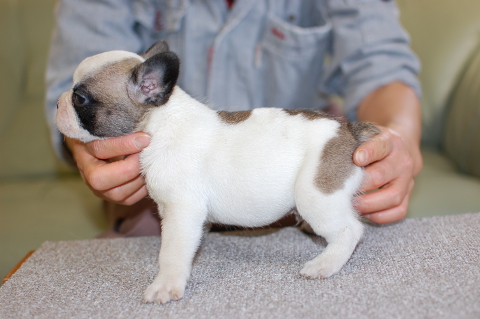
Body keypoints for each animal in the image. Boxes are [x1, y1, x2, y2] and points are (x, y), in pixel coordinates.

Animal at [55, 41, 378, 306]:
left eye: (80, 99)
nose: (58, 103)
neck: (159, 123)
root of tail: (348, 130)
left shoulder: (182, 210)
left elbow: (171, 251)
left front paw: (165, 284)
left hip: (315, 193)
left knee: (351, 231)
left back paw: (325, 263)